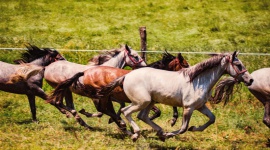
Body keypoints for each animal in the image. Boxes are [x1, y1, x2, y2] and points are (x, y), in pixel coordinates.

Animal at [98, 51, 253, 141]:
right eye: (238, 65)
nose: (250, 80)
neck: (198, 81)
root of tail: (126, 76)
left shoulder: (200, 106)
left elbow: (212, 119)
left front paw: (194, 128)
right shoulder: (188, 108)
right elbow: (183, 128)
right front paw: (170, 134)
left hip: (149, 102)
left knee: (142, 116)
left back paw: (159, 132)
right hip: (142, 102)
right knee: (126, 111)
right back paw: (136, 134)